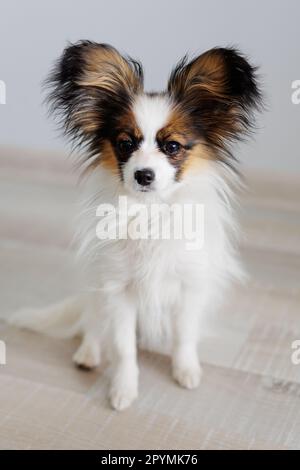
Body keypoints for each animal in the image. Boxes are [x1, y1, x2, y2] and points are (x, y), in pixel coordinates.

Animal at [10, 40, 262, 410]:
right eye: (125, 144)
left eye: (172, 146)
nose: (144, 175)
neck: (150, 212)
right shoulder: (118, 290)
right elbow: (123, 346)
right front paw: (123, 389)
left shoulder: (189, 286)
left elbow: (184, 335)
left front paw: (186, 371)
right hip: (96, 291)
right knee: (92, 323)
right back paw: (88, 354)